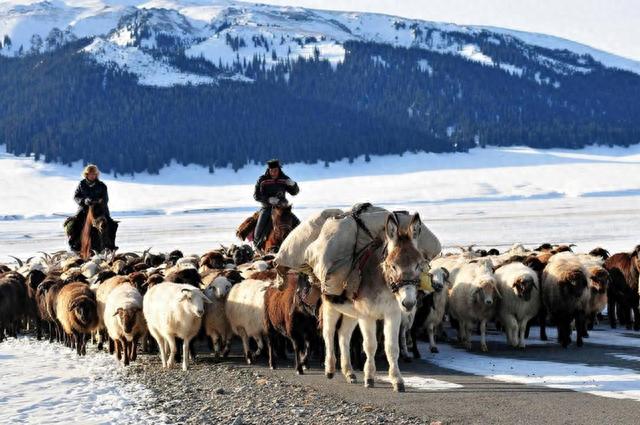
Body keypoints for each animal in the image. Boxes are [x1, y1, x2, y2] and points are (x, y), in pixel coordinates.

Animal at [320, 211, 424, 390]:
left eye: (418, 265)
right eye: (393, 266)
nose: (408, 303)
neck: (385, 285)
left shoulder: (393, 314)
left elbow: (392, 348)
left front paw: (397, 380)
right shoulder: (367, 316)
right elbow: (370, 345)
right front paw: (369, 377)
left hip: (351, 313)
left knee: (343, 336)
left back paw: (349, 373)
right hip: (331, 306)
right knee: (329, 333)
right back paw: (330, 369)